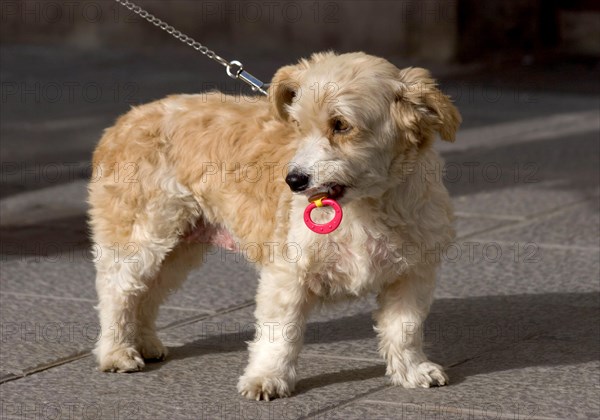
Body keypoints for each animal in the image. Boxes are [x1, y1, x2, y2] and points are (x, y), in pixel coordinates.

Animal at [89, 50, 462, 398]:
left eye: (341, 125)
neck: (363, 207)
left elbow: (404, 329)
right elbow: (279, 335)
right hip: (143, 236)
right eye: (299, 126)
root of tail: (123, 121)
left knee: (147, 294)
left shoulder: (412, 275)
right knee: (117, 291)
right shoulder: (287, 274)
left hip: (179, 248)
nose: (294, 180)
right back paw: (116, 352)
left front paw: (412, 370)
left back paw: (144, 344)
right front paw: (267, 378)